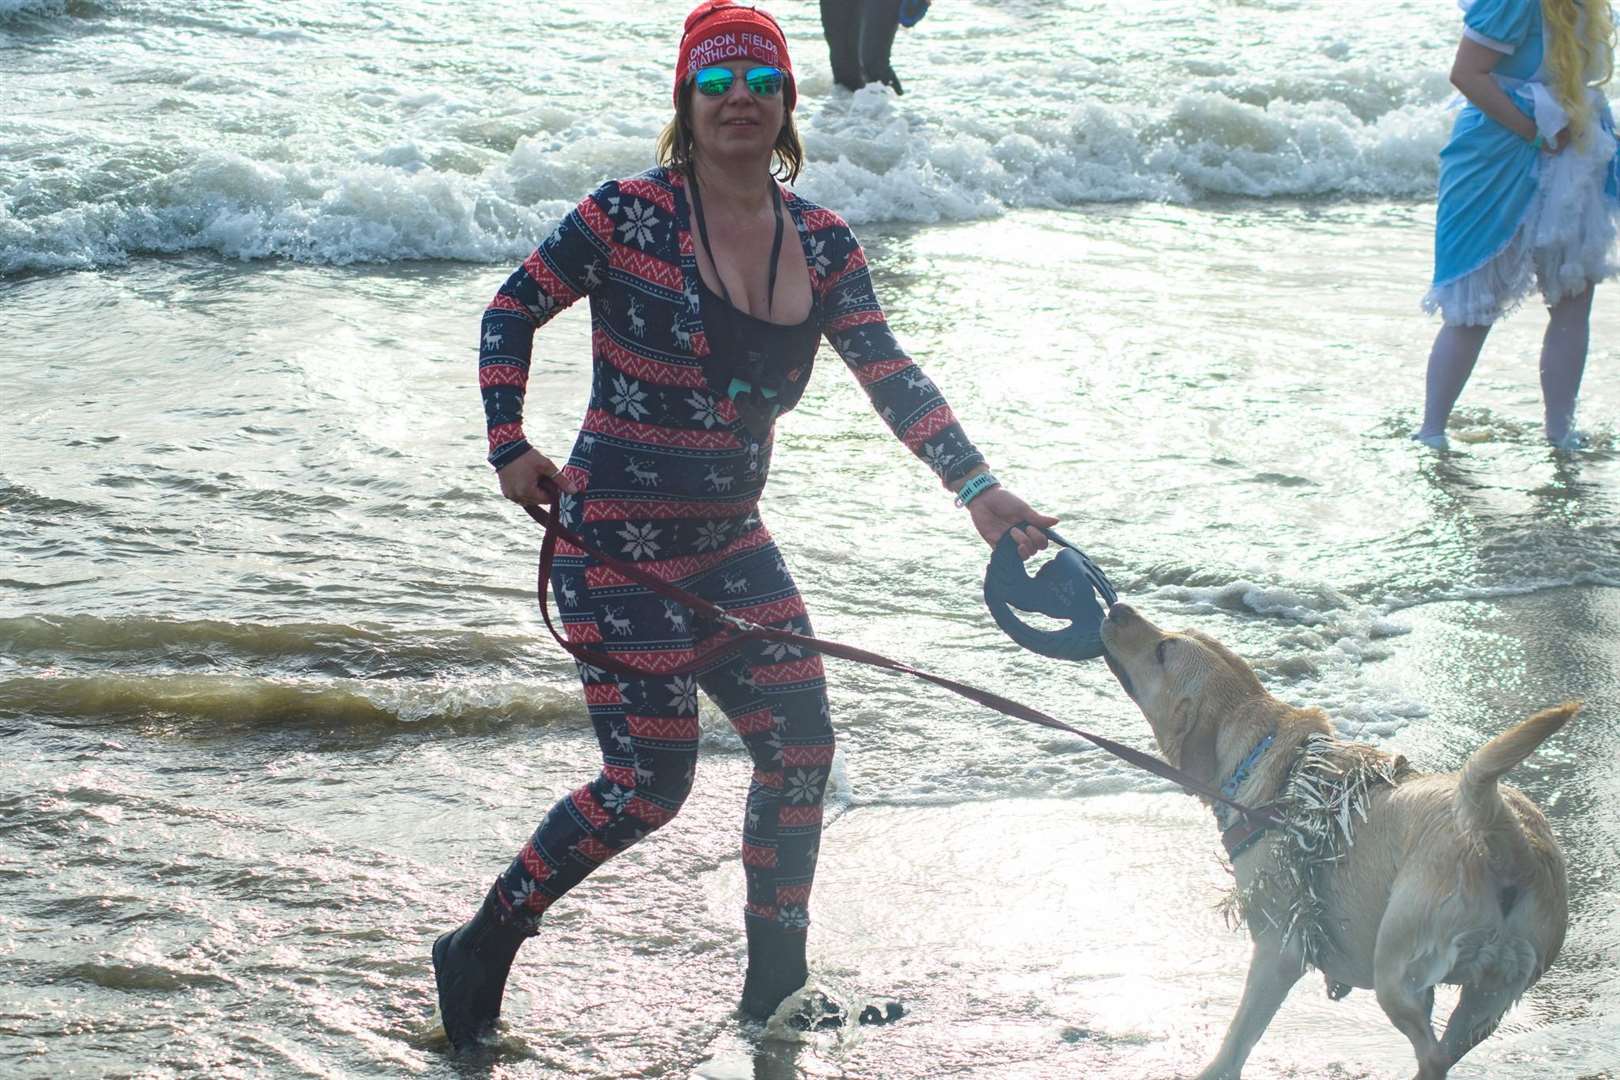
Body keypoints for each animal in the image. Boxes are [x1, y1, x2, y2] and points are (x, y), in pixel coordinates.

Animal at [1101, 605, 1568, 1075]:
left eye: (1163, 650)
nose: (1118, 608)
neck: (1264, 755)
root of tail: (1510, 843)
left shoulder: (1278, 950)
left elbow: (1239, 1037)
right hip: (1489, 994)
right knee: (1448, 1048)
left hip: (1396, 969)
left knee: (1433, 1054)